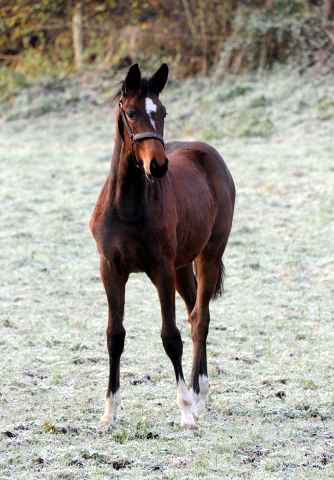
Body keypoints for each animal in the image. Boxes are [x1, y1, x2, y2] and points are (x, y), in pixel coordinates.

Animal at [89, 62, 235, 428]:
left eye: (163, 112)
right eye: (130, 112)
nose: (158, 166)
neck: (127, 205)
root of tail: (208, 153)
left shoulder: (161, 270)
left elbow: (171, 336)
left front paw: (184, 410)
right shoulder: (110, 269)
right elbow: (115, 335)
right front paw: (110, 410)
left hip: (209, 255)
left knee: (200, 318)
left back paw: (197, 396)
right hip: (183, 266)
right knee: (195, 309)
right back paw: (200, 391)